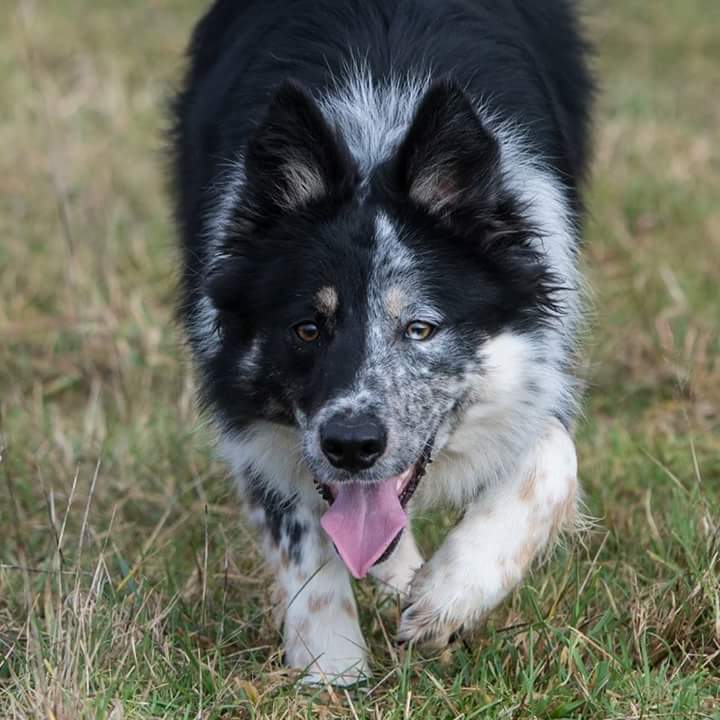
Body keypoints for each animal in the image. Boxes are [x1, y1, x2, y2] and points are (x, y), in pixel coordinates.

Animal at [169, 0, 592, 684]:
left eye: (420, 328)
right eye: (307, 328)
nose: (351, 446)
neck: (375, 136)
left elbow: (553, 453)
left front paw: (447, 596)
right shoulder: (246, 404)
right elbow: (302, 529)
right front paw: (333, 671)